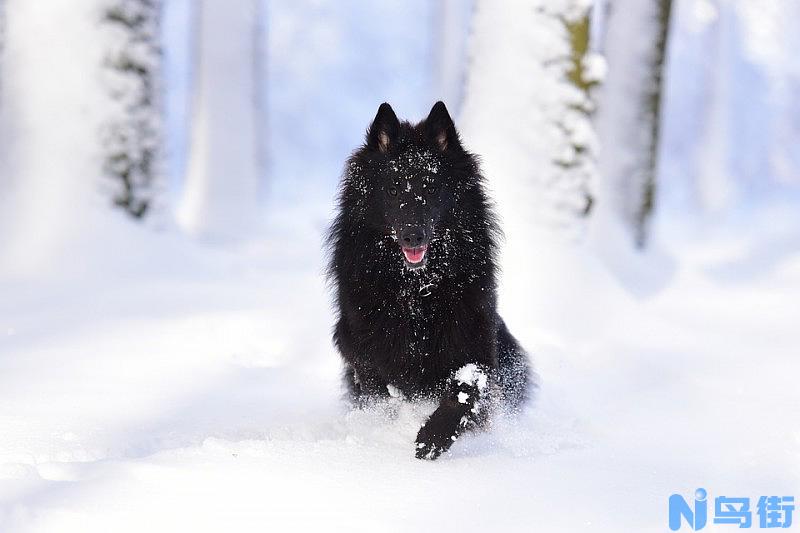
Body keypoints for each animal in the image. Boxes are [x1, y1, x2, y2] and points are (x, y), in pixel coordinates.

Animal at [324, 102, 532, 460]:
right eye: (393, 189)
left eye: (431, 188)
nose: (413, 235)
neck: (416, 289)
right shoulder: (358, 343)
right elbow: (378, 388)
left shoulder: (474, 344)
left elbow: (464, 392)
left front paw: (432, 437)